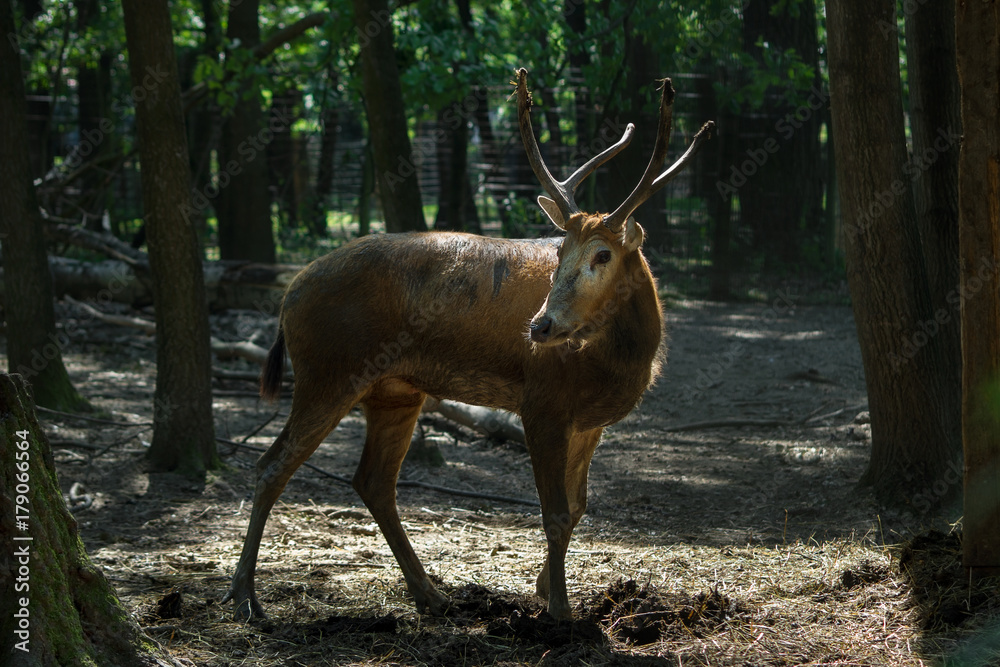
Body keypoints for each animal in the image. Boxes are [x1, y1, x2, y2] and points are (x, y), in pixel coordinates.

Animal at [223, 68, 714, 622]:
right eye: (559, 250)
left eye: (603, 254)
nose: (540, 327)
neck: (621, 364)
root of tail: (288, 295)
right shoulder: (542, 404)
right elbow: (554, 512)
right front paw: (559, 612)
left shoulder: (590, 421)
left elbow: (579, 505)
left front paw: (545, 588)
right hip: (327, 371)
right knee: (272, 465)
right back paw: (245, 597)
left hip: (395, 391)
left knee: (373, 480)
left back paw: (429, 592)